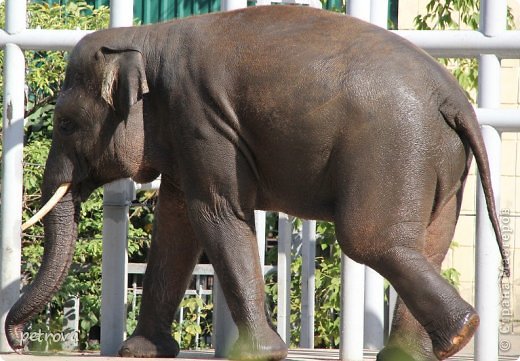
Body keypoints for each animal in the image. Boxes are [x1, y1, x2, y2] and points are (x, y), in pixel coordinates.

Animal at [5, 4, 508, 360]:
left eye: (66, 124)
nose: (23, 343)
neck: (147, 39)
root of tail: (454, 101)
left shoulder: (201, 118)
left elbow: (215, 213)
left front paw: (260, 354)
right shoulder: (187, 131)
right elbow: (176, 225)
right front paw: (141, 352)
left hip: (395, 147)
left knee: (372, 241)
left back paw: (459, 334)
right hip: (440, 162)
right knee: (428, 244)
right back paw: (417, 352)